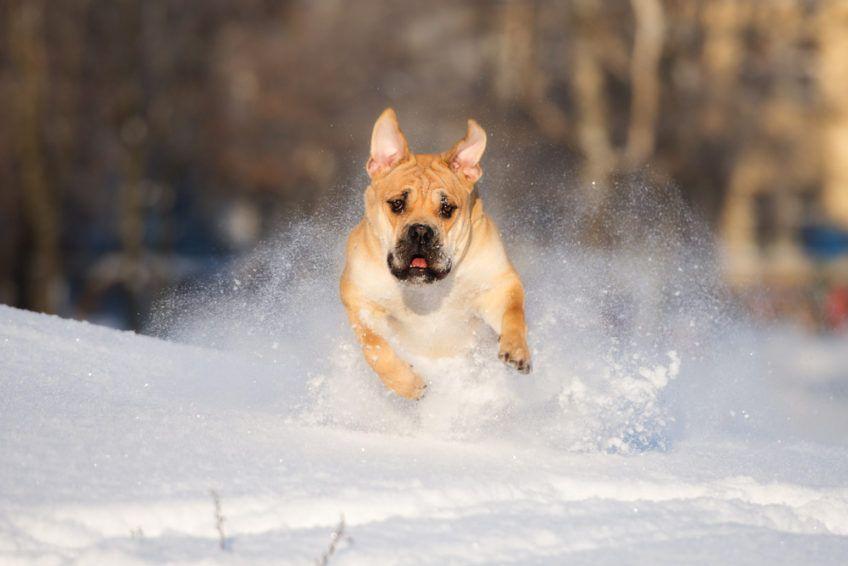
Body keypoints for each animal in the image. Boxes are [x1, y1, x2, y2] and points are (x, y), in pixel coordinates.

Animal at [340, 107, 528, 400]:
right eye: (397, 203)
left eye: (447, 208)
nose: (420, 232)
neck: (426, 294)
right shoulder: (361, 299)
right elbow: (375, 347)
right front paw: (407, 383)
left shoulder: (496, 286)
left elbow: (513, 314)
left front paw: (516, 349)